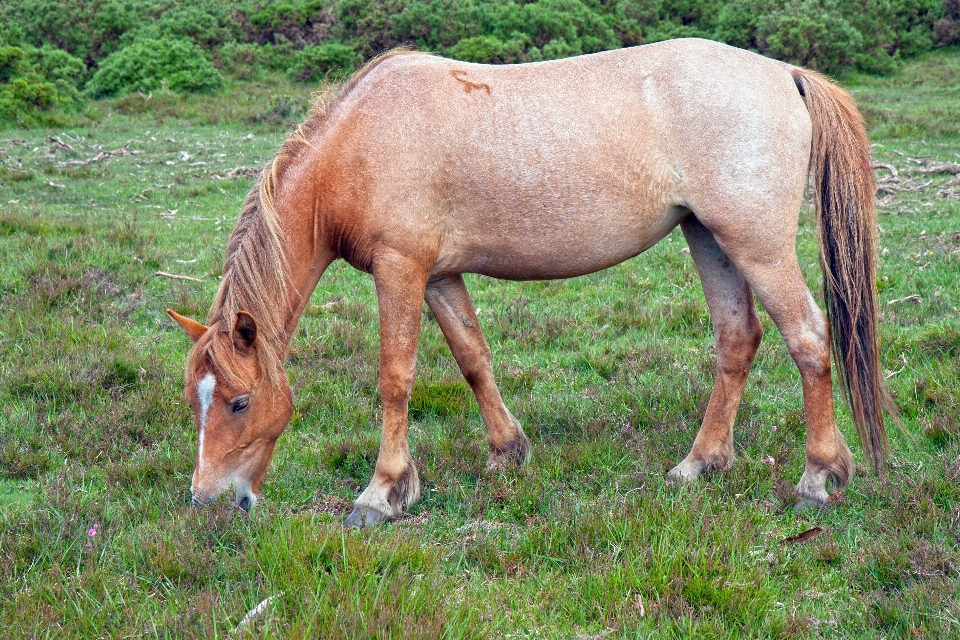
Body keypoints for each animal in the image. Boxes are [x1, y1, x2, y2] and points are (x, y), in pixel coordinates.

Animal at [165, 37, 892, 524]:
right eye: (194, 399)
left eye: (238, 402)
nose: (208, 498)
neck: (363, 141)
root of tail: (785, 75)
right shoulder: (440, 276)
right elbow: (472, 358)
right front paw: (505, 452)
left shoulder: (401, 270)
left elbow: (395, 377)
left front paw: (383, 492)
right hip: (709, 238)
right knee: (738, 339)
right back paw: (700, 464)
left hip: (756, 246)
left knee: (808, 337)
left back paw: (819, 477)